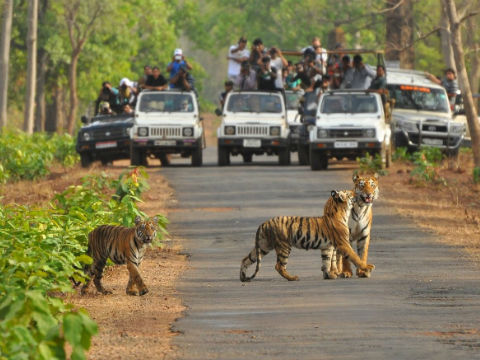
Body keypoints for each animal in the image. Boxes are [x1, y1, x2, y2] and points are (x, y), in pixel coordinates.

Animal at [240, 190, 376, 282]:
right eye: (349, 192)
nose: (356, 192)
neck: (340, 212)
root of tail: (264, 223)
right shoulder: (343, 243)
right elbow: (355, 257)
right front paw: (367, 267)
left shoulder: (327, 247)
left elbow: (326, 261)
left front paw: (329, 275)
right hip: (284, 246)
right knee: (279, 266)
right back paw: (293, 278)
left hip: (264, 246)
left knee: (246, 259)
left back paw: (243, 277)